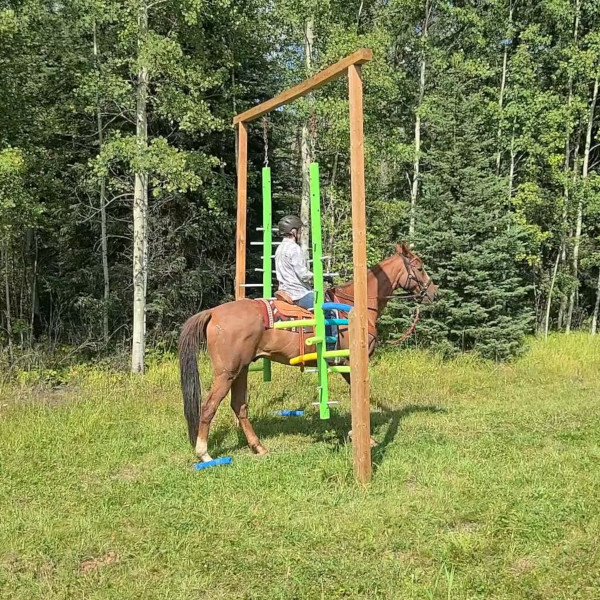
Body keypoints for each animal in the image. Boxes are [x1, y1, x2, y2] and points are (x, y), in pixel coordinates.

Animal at [178, 241, 436, 462]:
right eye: (420, 268)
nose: (433, 292)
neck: (355, 306)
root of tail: (214, 312)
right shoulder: (350, 361)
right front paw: (365, 437)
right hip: (227, 373)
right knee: (209, 406)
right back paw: (204, 454)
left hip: (241, 370)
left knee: (239, 406)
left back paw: (259, 447)